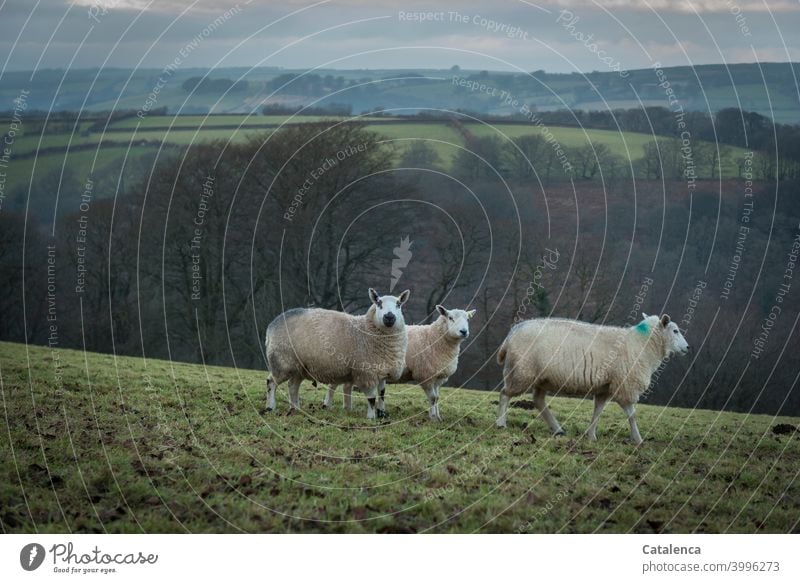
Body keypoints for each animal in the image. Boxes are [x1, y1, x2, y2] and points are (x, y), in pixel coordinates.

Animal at [266, 288, 410, 420]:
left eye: (398, 304)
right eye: (379, 304)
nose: (389, 317)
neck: (366, 330)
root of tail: (272, 325)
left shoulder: (382, 372)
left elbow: (382, 394)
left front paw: (382, 413)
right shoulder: (366, 373)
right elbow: (371, 398)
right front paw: (371, 417)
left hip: (299, 367)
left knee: (293, 386)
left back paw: (295, 409)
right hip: (282, 361)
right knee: (271, 382)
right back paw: (270, 407)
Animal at [324, 306, 476, 420]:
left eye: (468, 319)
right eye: (450, 318)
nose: (464, 331)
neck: (434, 338)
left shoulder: (437, 377)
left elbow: (437, 398)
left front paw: (437, 416)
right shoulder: (425, 375)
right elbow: (433, 398)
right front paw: (433, 418)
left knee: (346, 386)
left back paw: (347, 408)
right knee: (333, 385)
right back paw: (327, 405)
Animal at [494, 314, 688, 442]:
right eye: (675, 331)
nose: (687, 347)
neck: (642, 345)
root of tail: (511, 334)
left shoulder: (605, 387)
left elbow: (598, 412)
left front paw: (591, 436)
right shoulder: (625, 385)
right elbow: (632, 415)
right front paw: (638, 439)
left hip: (541, 378)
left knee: (538, 400)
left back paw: (558, 429)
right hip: (521, 371)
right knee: (504, 394)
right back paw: (501, 423)